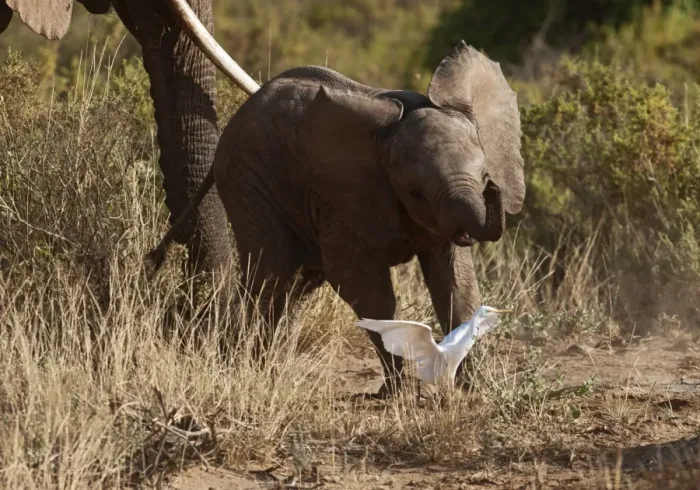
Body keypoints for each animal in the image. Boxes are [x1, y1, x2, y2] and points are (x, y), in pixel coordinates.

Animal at [147, 9, 525, 396]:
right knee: (273, 270)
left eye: (485, 177)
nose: (493, 190)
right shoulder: (342, 198)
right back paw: (253, 369)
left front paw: (474, 386)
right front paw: (399, 392)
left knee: (299, 280)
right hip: (246, 176)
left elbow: (456, 285)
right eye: (414, 191)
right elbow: (361, 283)